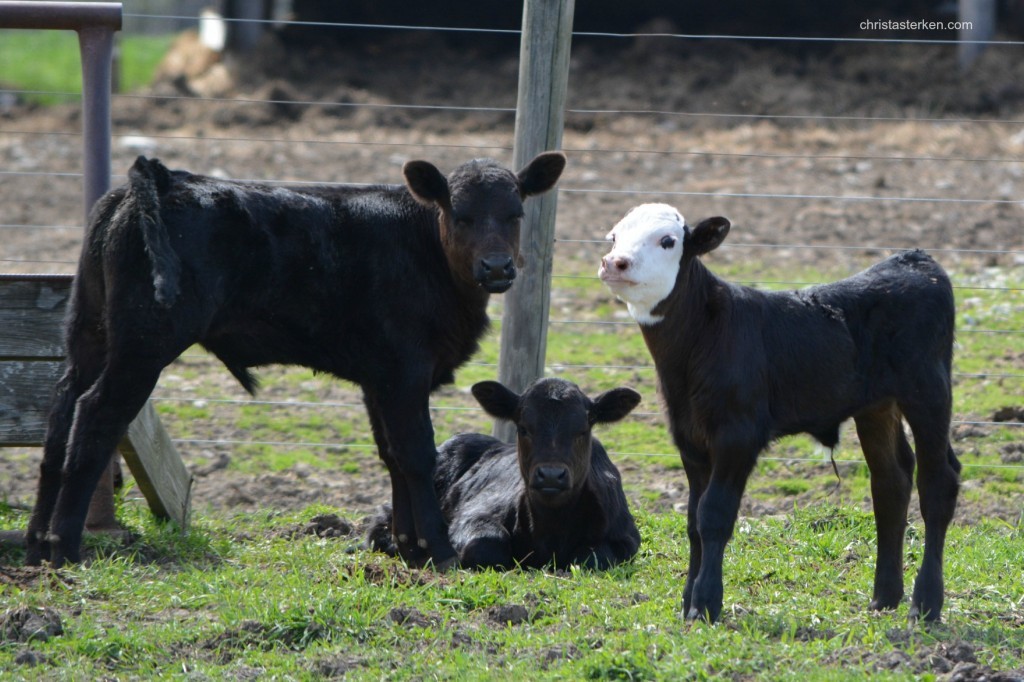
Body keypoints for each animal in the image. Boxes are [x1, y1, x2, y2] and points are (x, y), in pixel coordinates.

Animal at [598, 201, 958, 622]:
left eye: (668, 241)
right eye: (614, 236)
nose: (615, 262)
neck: (702, 338)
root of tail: (915, 260)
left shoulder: (738, 435)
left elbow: (714, 516)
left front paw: (706, 603)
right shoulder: (689, 438)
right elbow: (692, 521)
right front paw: (688, 601)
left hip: (929, 391)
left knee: (937, 484)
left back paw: (925, 603)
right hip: (877, 406)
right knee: (891, 481)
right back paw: (884, 597)